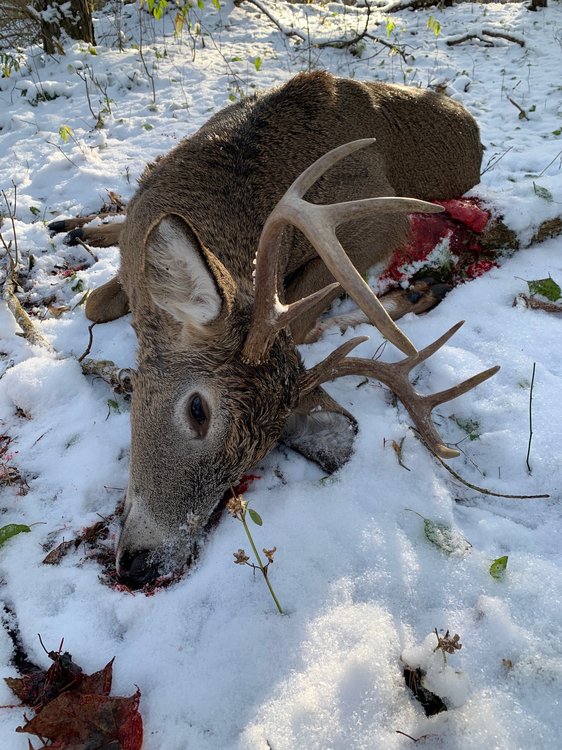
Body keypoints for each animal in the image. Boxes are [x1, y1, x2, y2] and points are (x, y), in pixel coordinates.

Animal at [52, 71, 499, 588]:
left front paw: (409, 296)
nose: (146, 566)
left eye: (257, 454)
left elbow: (303, 323)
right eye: (198, 410)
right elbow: (94, 302)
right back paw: (75, 226)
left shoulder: (385, 222)